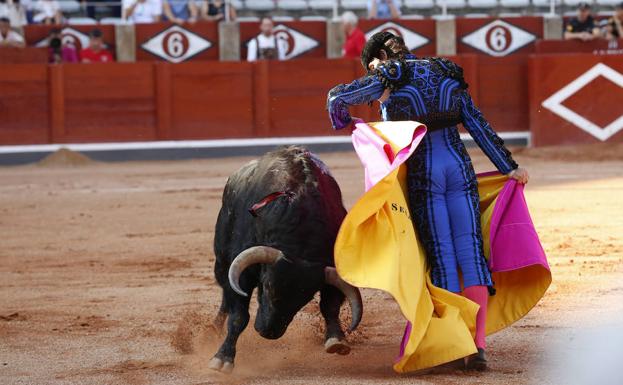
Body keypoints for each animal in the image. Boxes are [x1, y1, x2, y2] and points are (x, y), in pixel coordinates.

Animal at [210, 146, 364, 370]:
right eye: (266, 286)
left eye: (306, 297)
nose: (268, 332)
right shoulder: (243, 272)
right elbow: (238, 316)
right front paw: (222, 358)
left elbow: (330, 306)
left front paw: (336, 339)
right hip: (221, 260)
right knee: (225, 295)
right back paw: (213, 329)